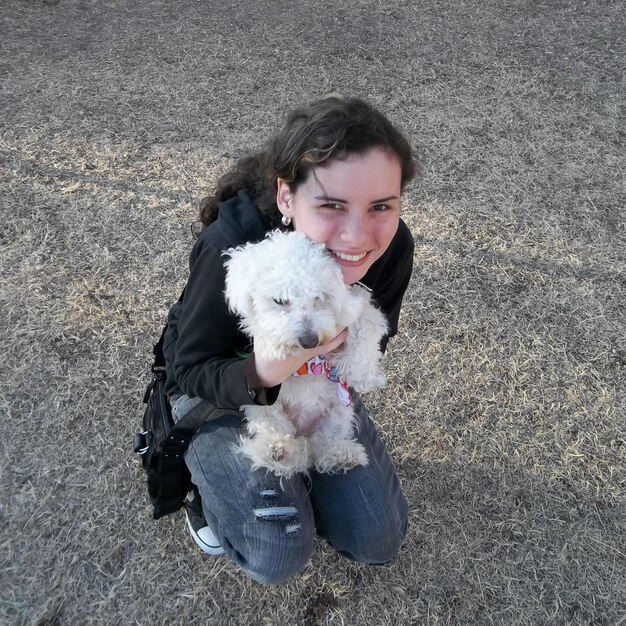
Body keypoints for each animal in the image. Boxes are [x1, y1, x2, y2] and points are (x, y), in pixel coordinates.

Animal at [223, 232, 386, 476]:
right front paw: (276, 345)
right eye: (280, 301)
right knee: (279, 432)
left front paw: (363, 375)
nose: (310, 342)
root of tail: (303, 431)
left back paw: (342, 455)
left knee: (322, 445)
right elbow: (262, 328)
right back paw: (277, 449)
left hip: (338, 413)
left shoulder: (355, 304)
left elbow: (365, 324)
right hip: (262, 408)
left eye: (317, 298)